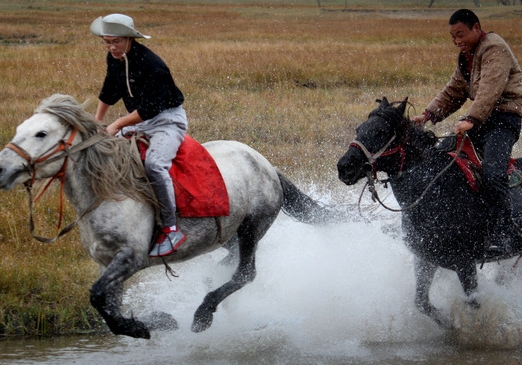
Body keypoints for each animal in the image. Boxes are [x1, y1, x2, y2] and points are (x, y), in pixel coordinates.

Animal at [336, 96, 520, 328]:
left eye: (381, 132)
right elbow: (421, 303)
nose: (344, 167)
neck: (436, 191)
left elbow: (474, 305)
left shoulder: (465, 263)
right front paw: (449, 326)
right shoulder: (425, 260)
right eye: (359, 129)